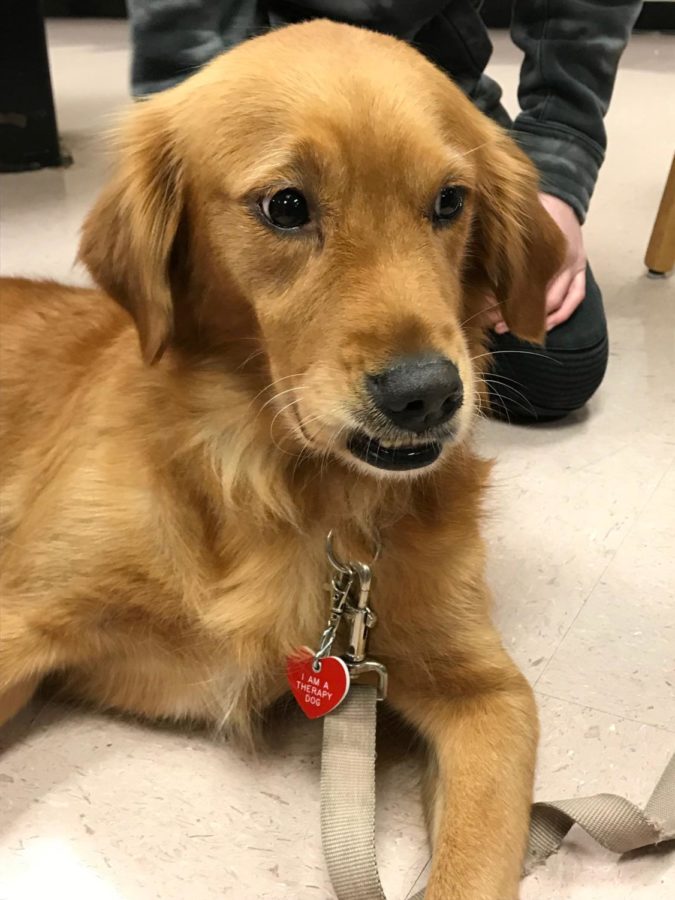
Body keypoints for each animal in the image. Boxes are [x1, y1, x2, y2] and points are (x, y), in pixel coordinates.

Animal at [0, 21, 564, 900]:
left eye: (450, 200)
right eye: (286, 206)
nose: (427, 395)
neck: (287, 487)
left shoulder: (485, 692)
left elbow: (472, 864)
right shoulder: (21, 615)